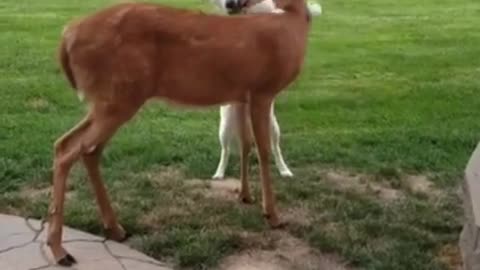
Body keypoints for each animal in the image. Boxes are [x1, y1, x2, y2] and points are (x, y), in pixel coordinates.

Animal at [210, 0, 322, 179]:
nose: (231, 5)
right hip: (225, 128)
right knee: (225, 151)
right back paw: (219, 173)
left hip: (273, 128)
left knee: (275, 150)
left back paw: (284, 170)